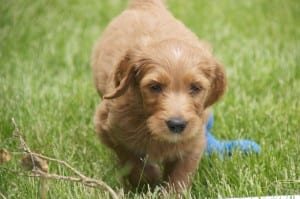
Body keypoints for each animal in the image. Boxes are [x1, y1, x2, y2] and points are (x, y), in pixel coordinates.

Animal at [91, 0, 225, 193]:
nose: (177, 125)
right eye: (155, 87)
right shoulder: (108, 126)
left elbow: (180, 174)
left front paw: (171, 192)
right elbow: (131, 159)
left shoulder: (195, 138)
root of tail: (145, 5)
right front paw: (150, 178)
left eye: (195, 88)